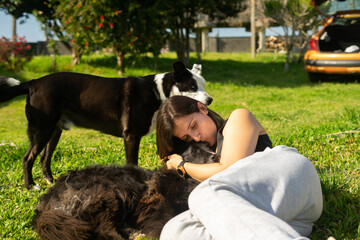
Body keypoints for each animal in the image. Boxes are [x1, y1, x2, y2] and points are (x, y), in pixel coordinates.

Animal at [0, 62, 212, 189]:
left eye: (204, 85)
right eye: (192, 87)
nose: (210, 100)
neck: (158, 92)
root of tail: (33, 83)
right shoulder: (131, 136)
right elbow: (132, 164)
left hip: (54, 131)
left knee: (45, 158)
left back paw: (50, 181)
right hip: (41, 130)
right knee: (27, 158)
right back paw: (31, 186)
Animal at [32, 142, 218, 239]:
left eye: (209, 147)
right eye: (195, 151)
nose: (215, 155)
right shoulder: (158, 204)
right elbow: (165, 220)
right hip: (107, 195)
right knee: (104, 230)